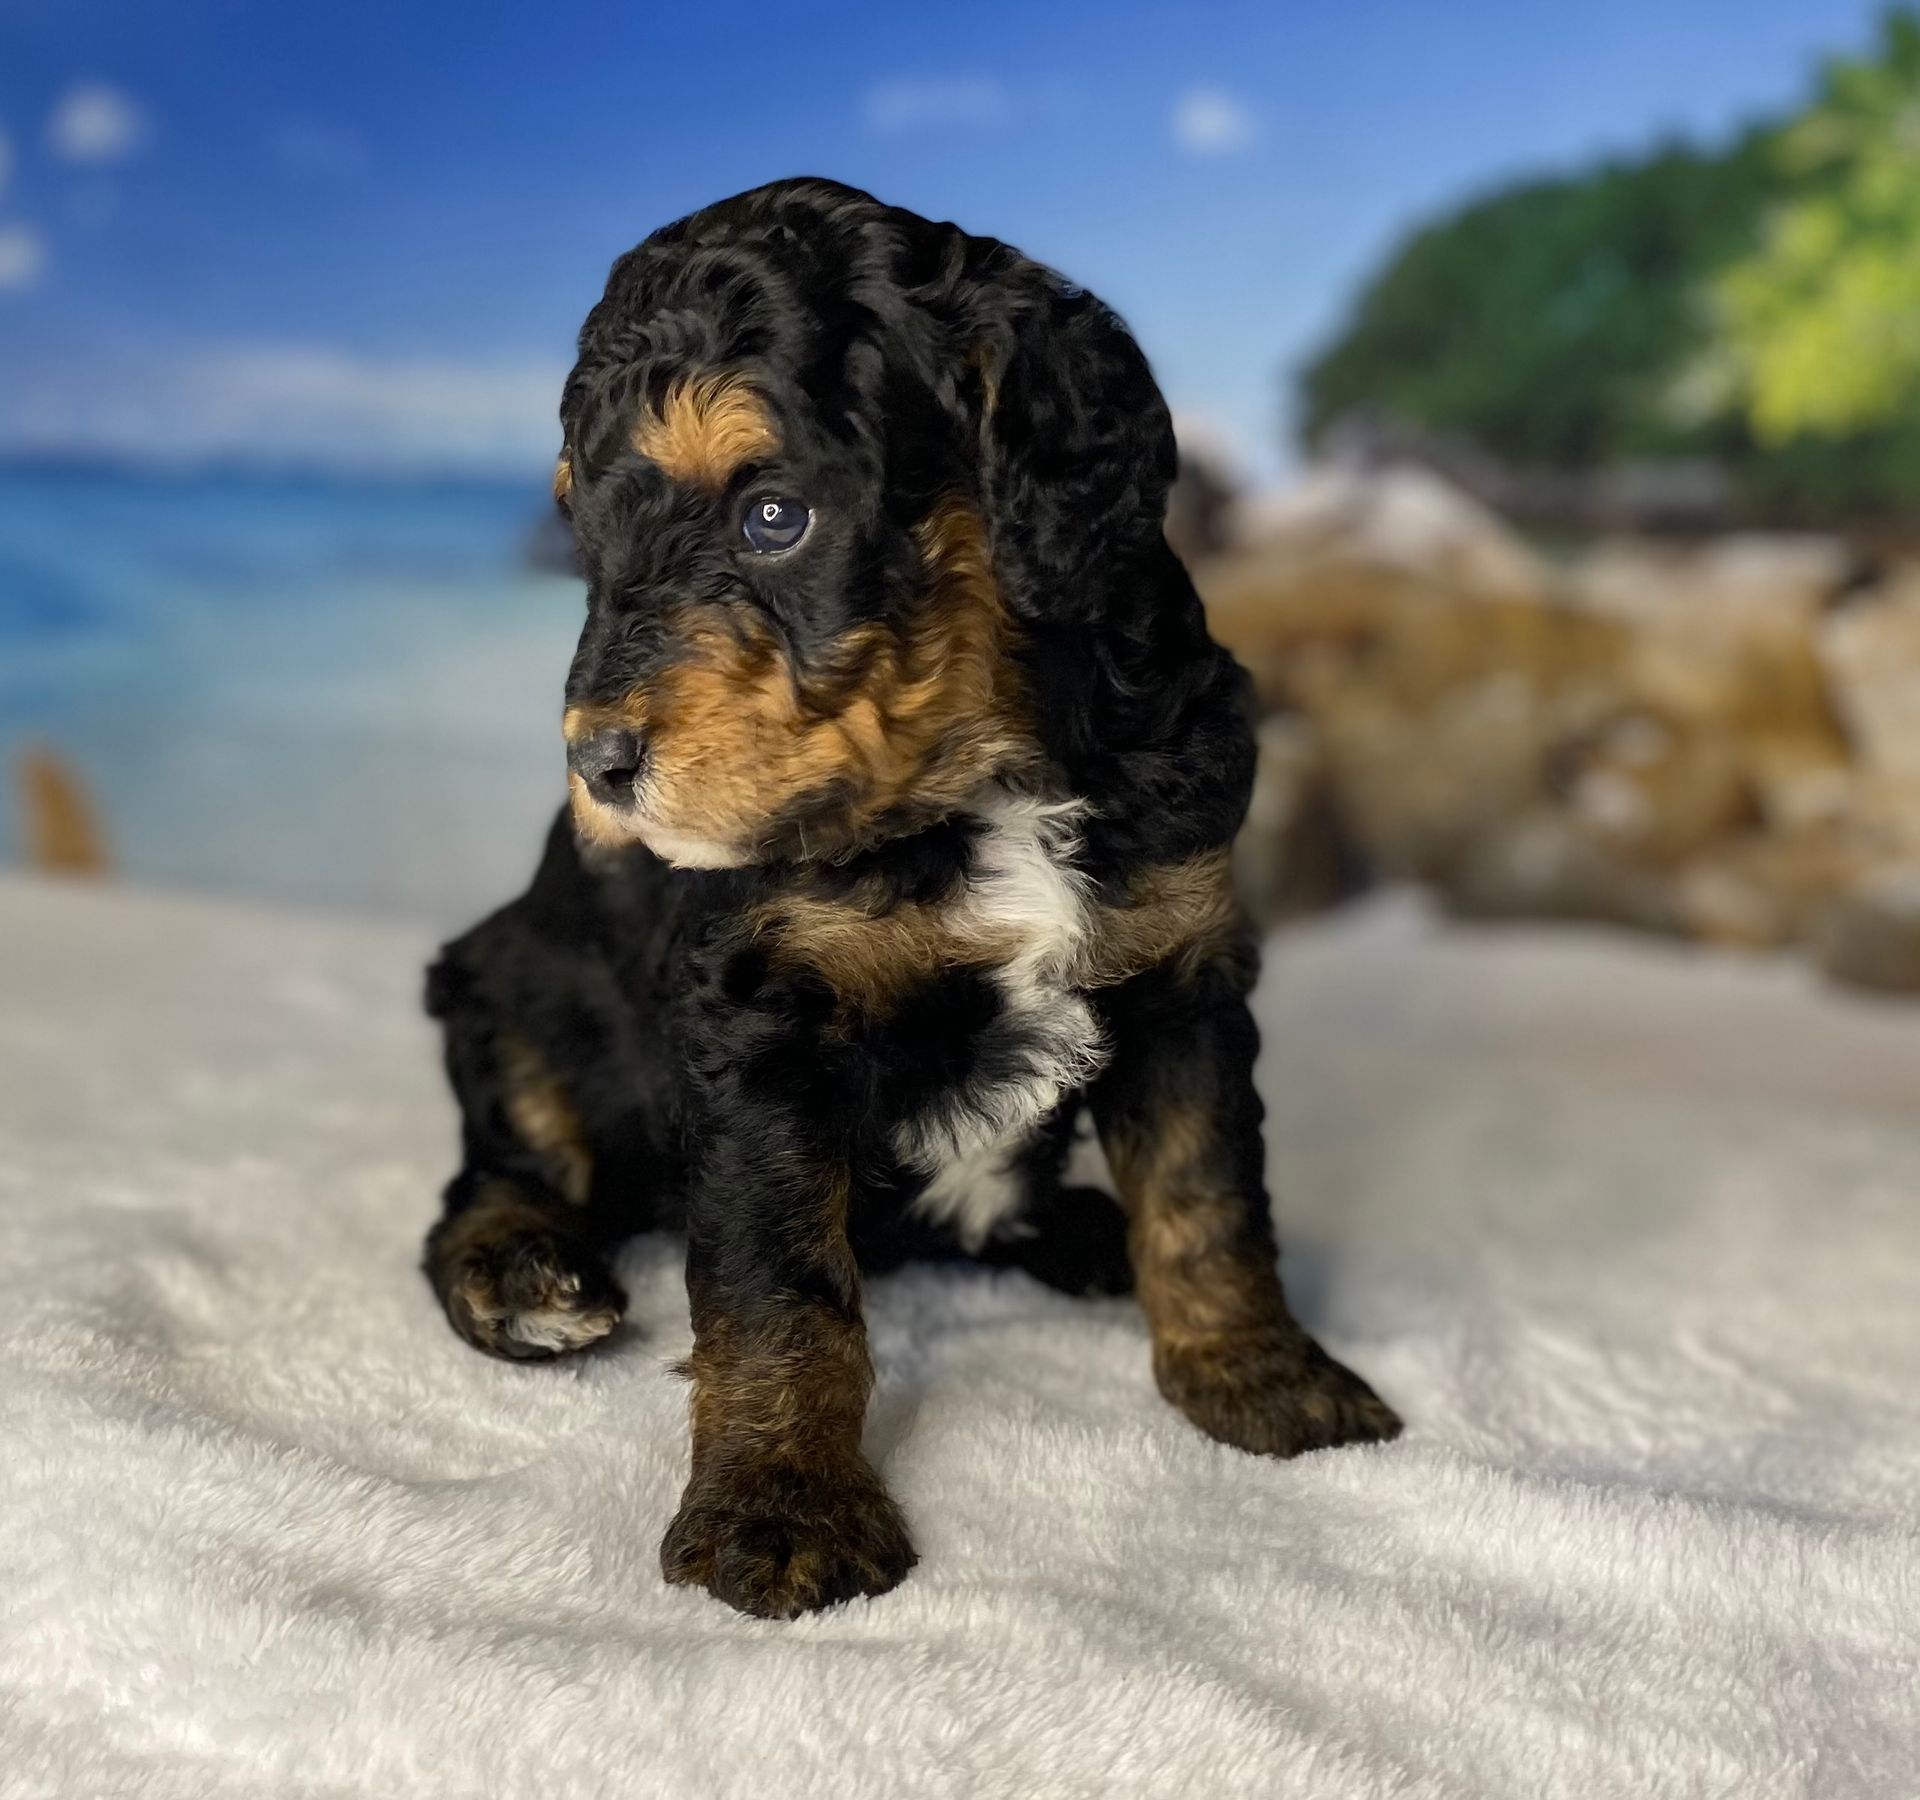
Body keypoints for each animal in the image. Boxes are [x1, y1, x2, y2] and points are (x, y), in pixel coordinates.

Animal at [420, 178, 1397, 1611]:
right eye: (583, 541)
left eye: (775, 515)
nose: (595, 764)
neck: (978, 780)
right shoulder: (759, 1017)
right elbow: (782, 1287)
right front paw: (782, 1506)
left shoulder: (1185, 963)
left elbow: (1207, 1185)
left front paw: (1257, 1374)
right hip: (503, 985)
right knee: (501, 1168)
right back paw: (521, 1276)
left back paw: (1081, 1231)